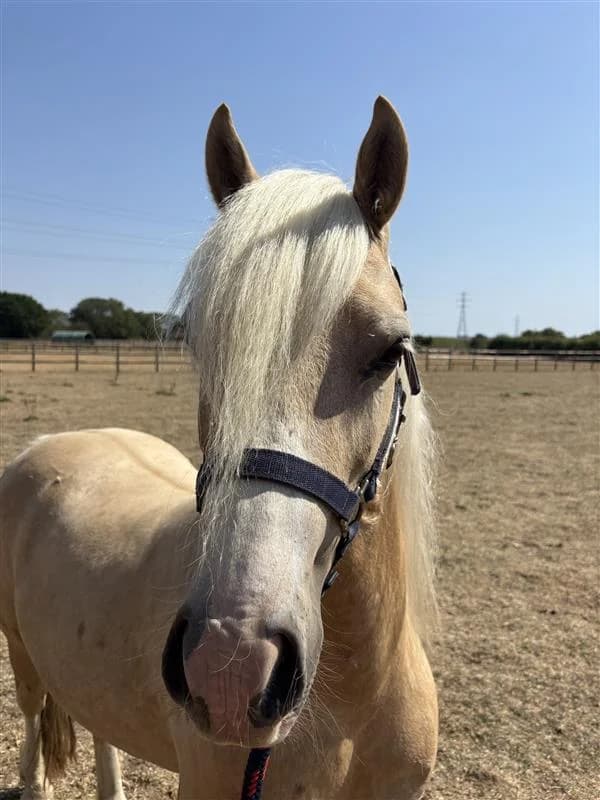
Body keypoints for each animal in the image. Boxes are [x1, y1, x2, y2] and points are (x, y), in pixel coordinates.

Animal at [0, 96, 438, 800]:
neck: (352, 705)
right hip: (22, 655)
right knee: (37, 724)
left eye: (389, 350)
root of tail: (50, 442)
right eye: (200, 346)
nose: (231, 662)